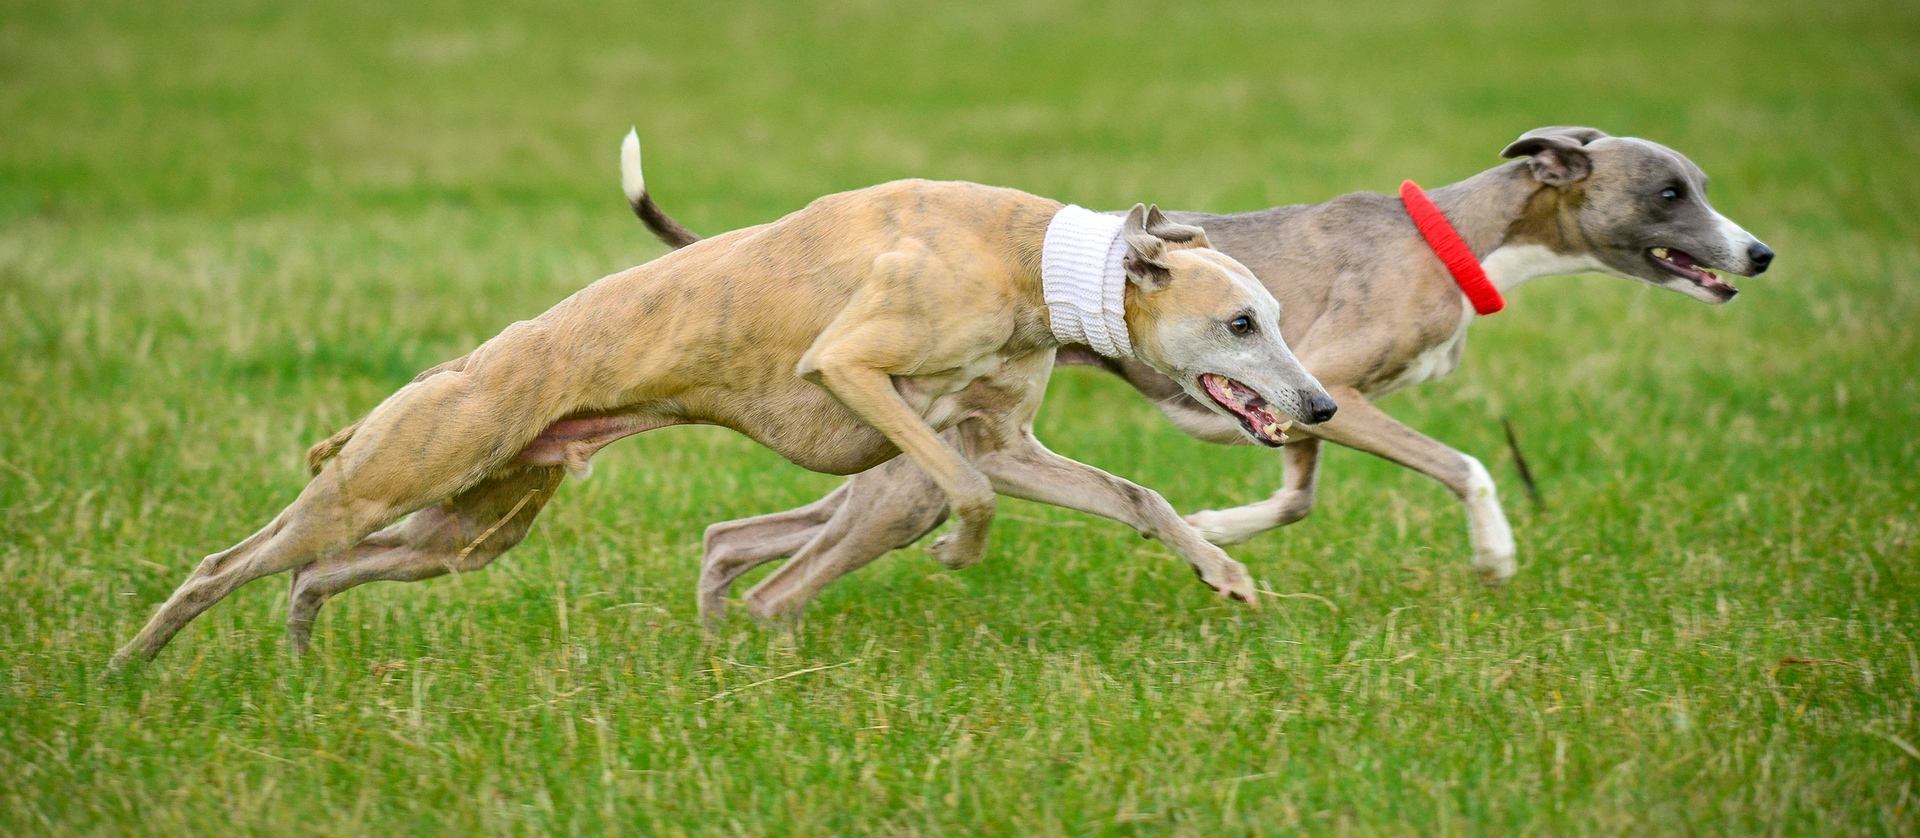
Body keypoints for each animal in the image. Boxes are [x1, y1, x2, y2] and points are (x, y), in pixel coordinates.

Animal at [110, 142, 1338, 665]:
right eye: (1243, 323)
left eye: (1276, 313)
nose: (1321, 404)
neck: (1027, 255)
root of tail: (453, 369)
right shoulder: (853, 371)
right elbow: (962, 486)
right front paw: (961, 547)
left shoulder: (1002, 432)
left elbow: (1131, 494)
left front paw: (1224, 572)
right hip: (394, 476)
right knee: (229, 562)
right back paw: (133, 666)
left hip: (465, 528)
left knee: (319, 573)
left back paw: (298, 648)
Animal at [627, 126, 1776, 622]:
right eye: (1670, 192)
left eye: (1699, 184)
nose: (1760, 254)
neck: (1453, 234)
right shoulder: (1340, 390)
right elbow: (1464, 465)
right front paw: (1495, 553)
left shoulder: (1308, 405)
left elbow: (1293, 496)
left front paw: (1217, 532)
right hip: (911, 482)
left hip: (901, 475)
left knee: (750, 537)